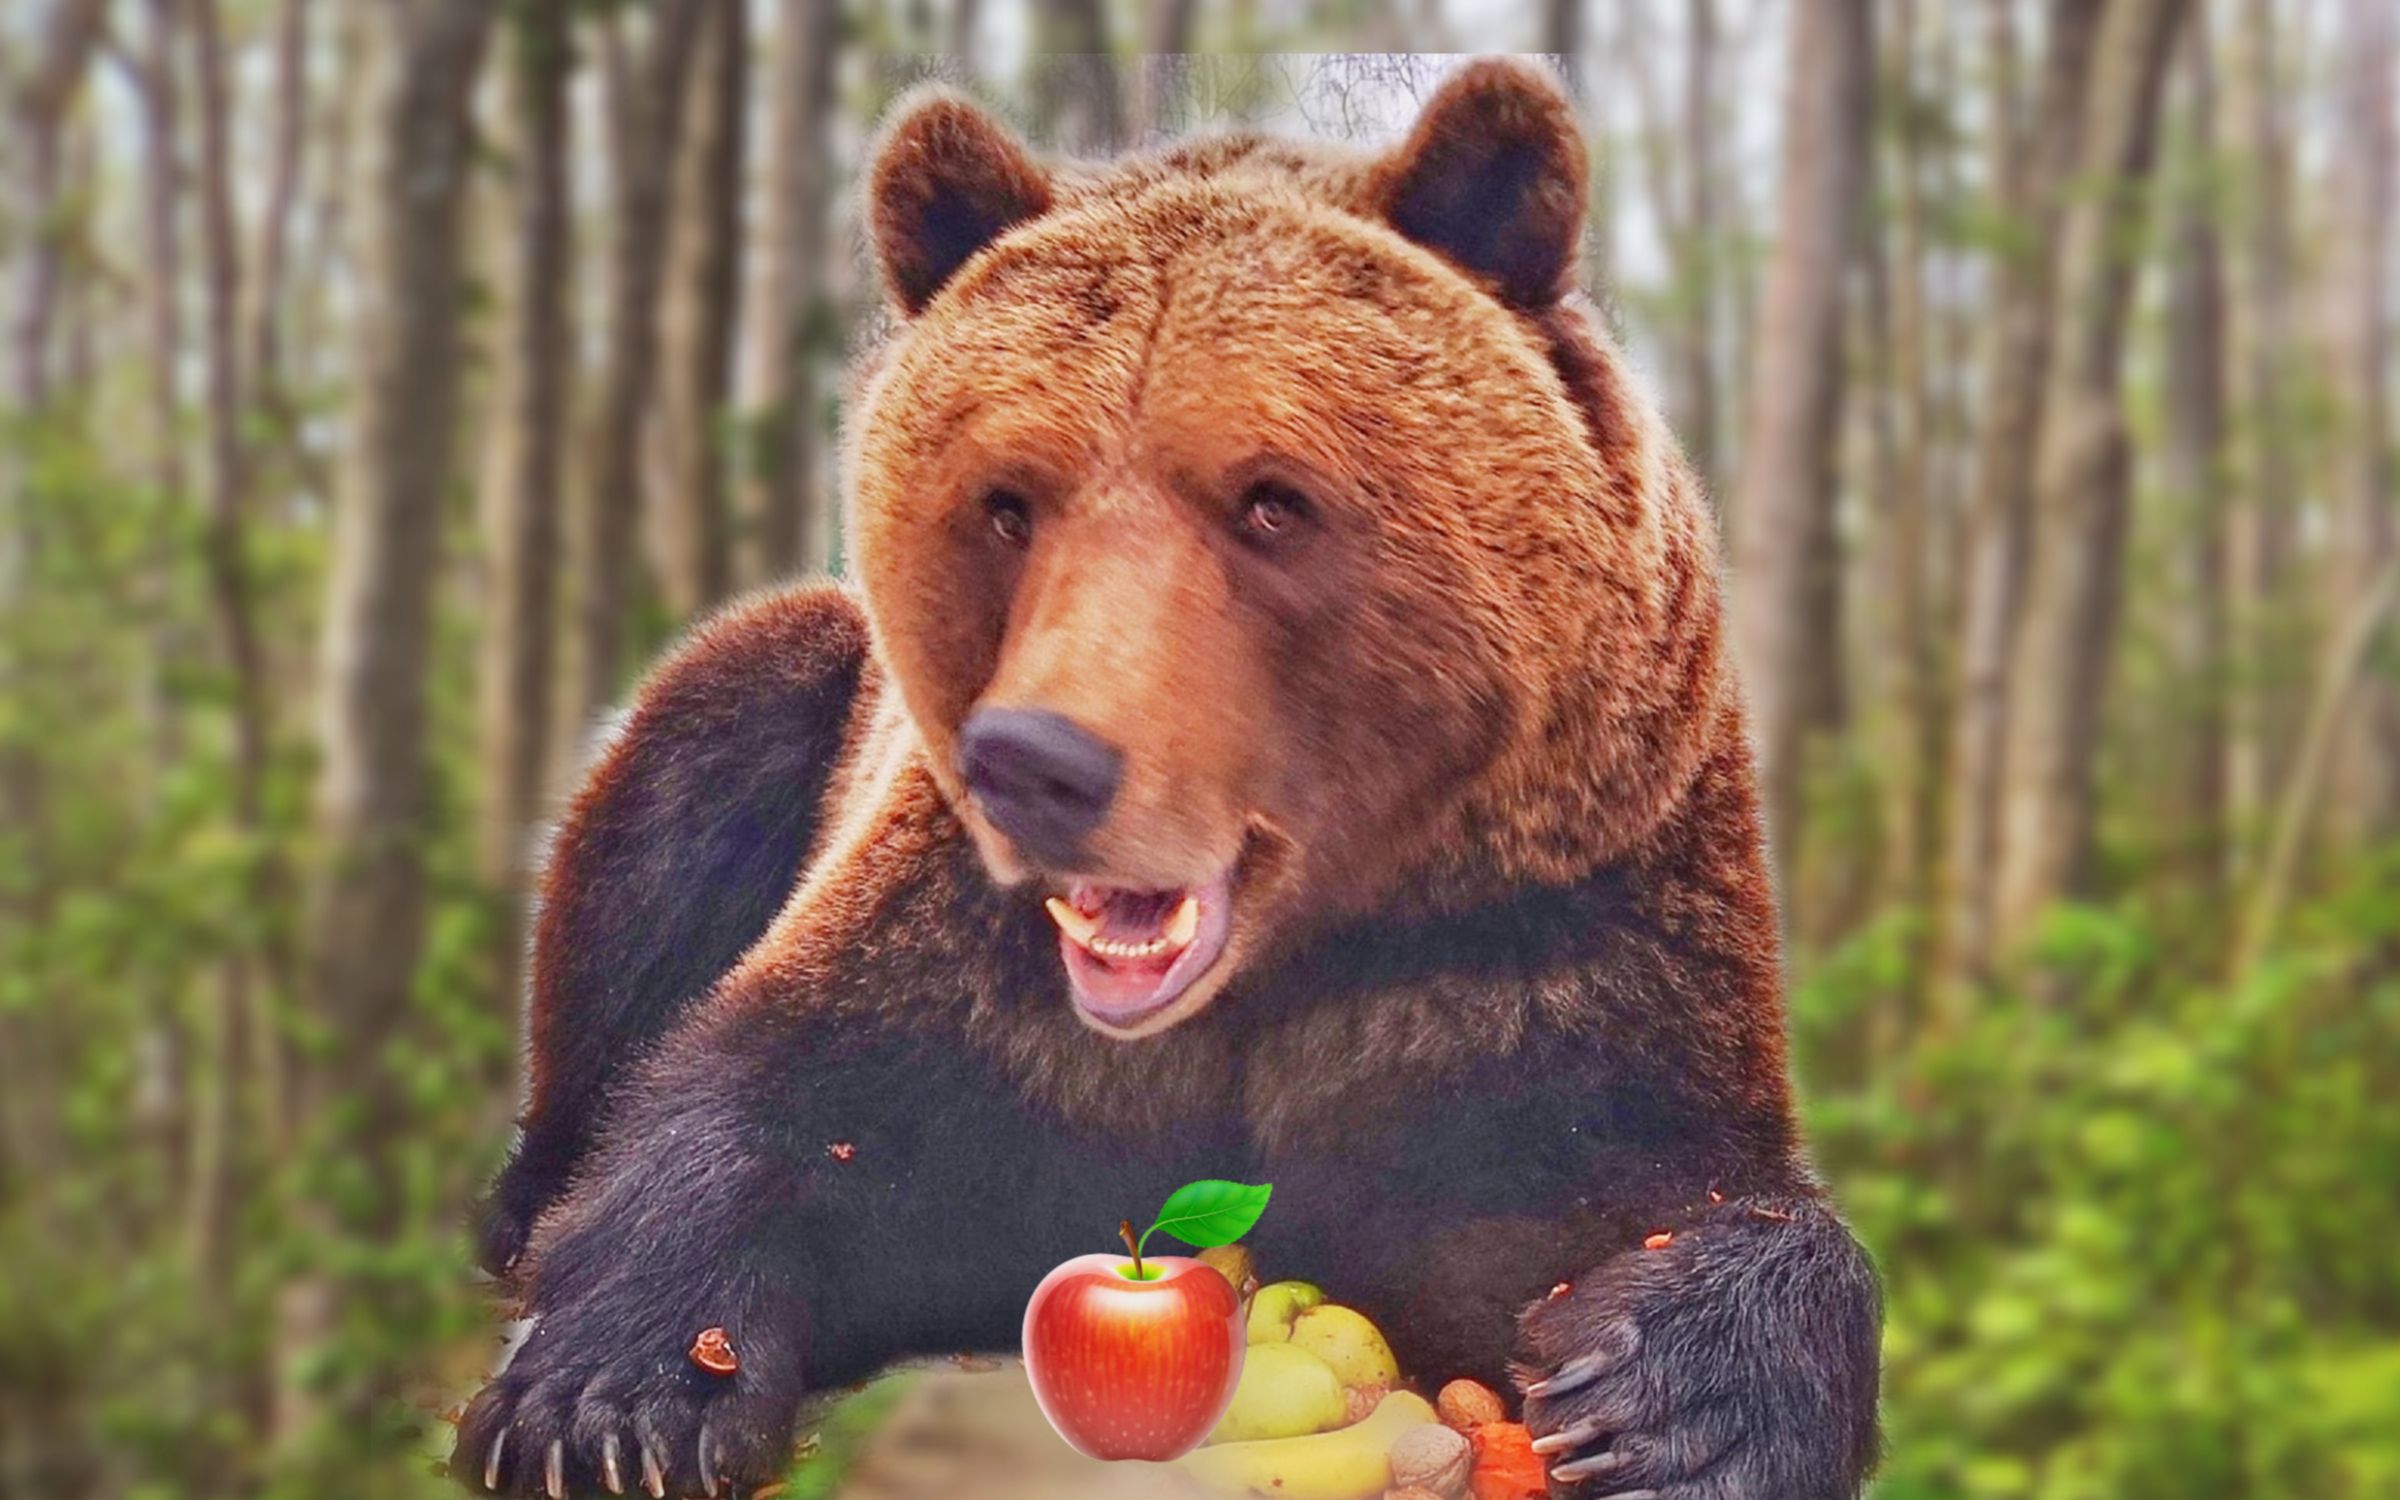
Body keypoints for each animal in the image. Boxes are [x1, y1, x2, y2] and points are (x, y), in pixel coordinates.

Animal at [457, 58, 1881, 1500]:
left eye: (1271, 500)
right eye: (1007, 500)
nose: (1037, 763)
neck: (1279, 967)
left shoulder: (1548, 937)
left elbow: (1637, 1188)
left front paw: (1669, 1408)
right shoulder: (966, 960)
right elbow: (779, 1106)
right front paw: (610, 1401)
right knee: (681, 783)